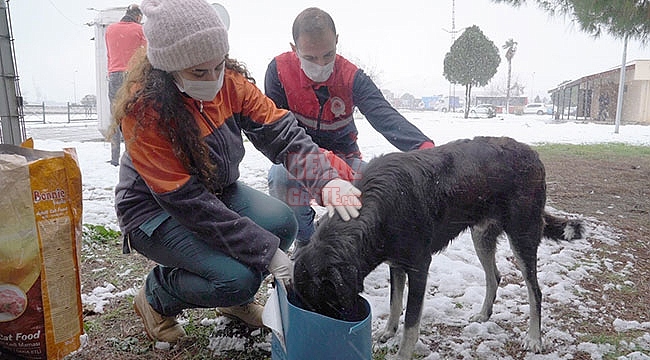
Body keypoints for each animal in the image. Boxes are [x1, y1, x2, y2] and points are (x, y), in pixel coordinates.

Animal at [294, 136, 584, 358]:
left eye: (325, 303)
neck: (381, 206)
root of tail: (533, 154)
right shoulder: (396, 264)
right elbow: (395, 304)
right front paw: (387, 332)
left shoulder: (419, 267)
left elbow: (411, 323)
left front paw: (402, 353)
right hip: (481, 238)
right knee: (495, 276)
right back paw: (484, 314)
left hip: (522, 238)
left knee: (535, 292)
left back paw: (534, 338)